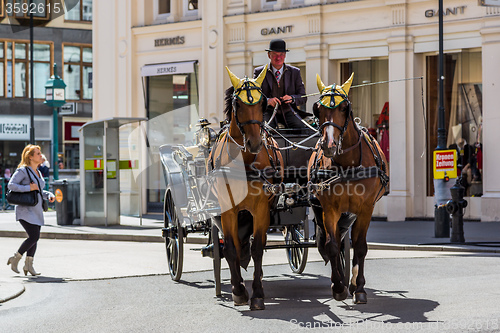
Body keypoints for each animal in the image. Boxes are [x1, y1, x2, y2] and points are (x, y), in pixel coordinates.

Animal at [210, 65, 284, 308]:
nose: (255, 143)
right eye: (239, 105)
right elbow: (230, 248)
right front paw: (238, 290)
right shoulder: (228, 210)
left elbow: (258, 248)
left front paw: (258, 293)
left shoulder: (261, 208)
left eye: (261, 104)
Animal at [308, 72, 390, 304]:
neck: (347, 164)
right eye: (318, 108)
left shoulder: (366, 209)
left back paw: (352, 283)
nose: (328, 145)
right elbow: (332, 246)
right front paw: (338, 287)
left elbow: (360, 247)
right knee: (334, 241)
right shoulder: (330, 209)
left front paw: (358, 287)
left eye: (344, 107)